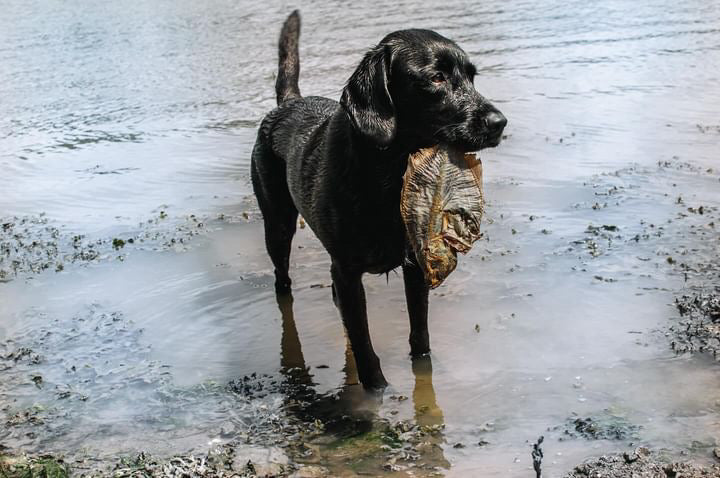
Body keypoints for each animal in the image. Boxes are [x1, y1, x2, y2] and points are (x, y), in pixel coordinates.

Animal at [252, 11, 506, 388]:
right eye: (437, 77)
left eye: (472, 77)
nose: (499, 122)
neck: (388, 173)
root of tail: (288, 102)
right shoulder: (347, 272)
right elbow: (364, 345)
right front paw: (376, 392)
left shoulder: (415, 265)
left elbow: (419, 335)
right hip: (278, 227)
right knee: (283, 281)